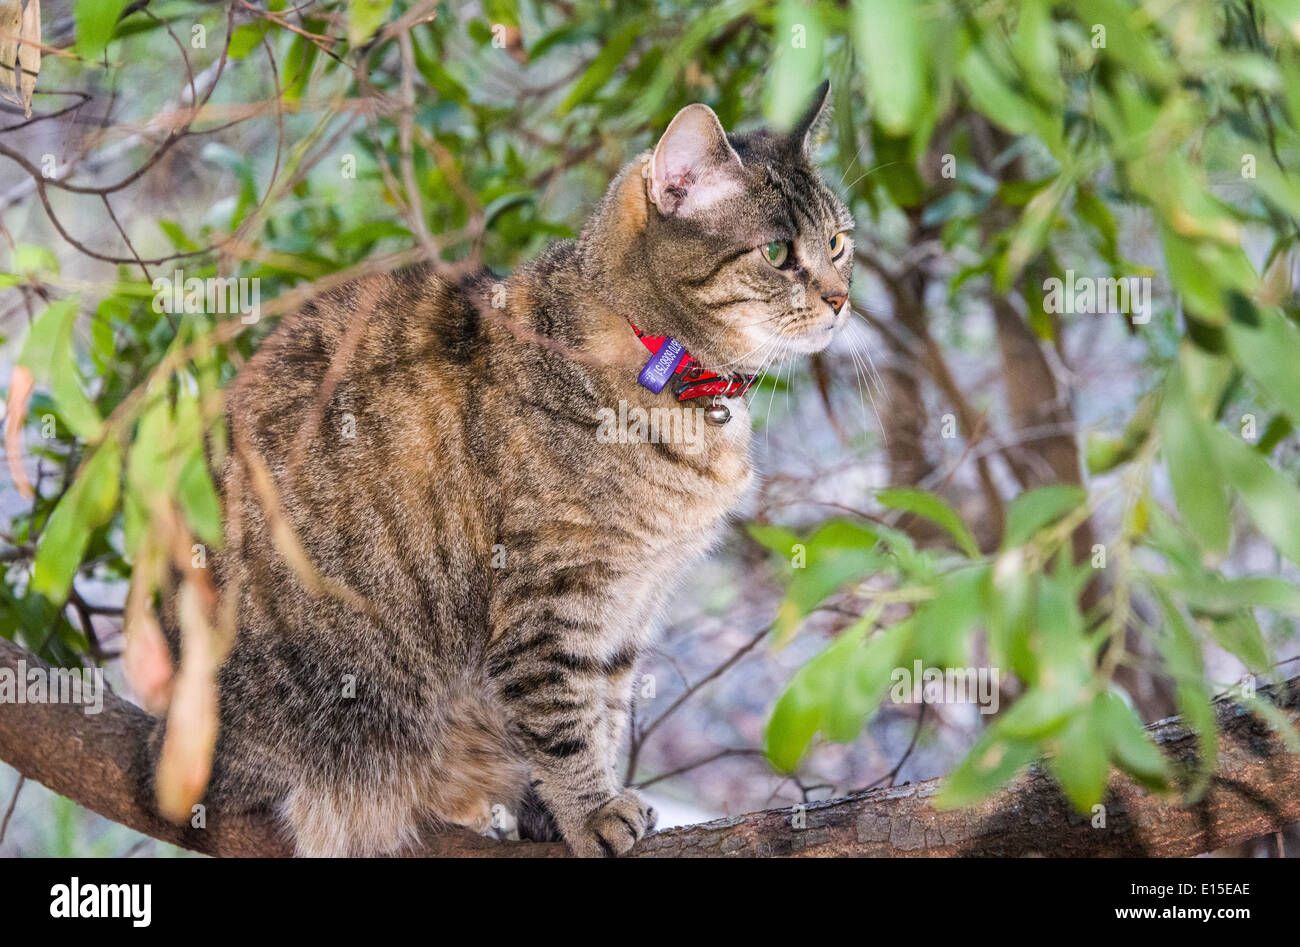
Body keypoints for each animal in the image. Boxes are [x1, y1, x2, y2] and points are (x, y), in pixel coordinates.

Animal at [154, 81, 852, 858]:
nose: (840, 297)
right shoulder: (552, 598)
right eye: (778, 253)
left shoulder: (630, 606)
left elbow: (605, 708)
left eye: (838, 242)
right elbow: (563, 721)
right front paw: (591, 810)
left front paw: (566, 808)